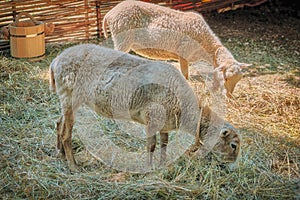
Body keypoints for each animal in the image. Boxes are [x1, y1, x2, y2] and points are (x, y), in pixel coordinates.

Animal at [49, 44, 241, 171]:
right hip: (69, 95)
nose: (233, 167)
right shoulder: (152, 117)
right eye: (233, 145)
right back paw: (73, 165)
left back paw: (60, 154)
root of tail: (56, 60)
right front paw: (149, 169)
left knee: (59, 124)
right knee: (66, 133)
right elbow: (152, 146)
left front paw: (162, 165)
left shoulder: (165, 122)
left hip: (66, 99)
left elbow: (164, 144)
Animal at [103, 0, 251, 97]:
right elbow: (185, 75)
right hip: (122, 38)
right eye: (225, 78)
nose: (230, 96)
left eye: (239, 79)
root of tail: (109, 14)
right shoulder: (184, 53)